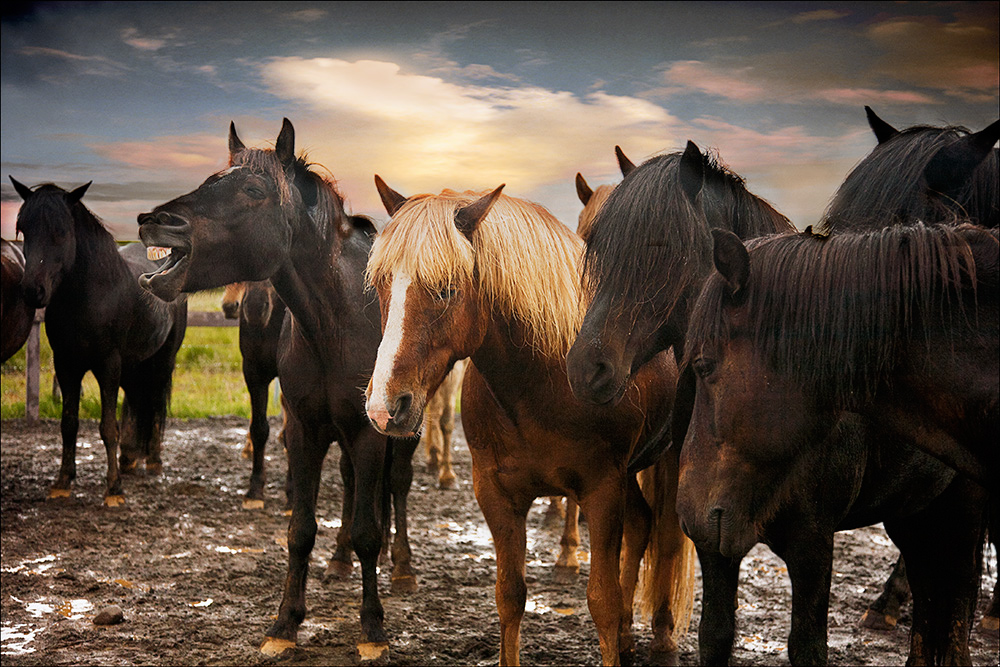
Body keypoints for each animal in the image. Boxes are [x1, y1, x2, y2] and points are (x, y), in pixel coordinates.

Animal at [10, 180, 188, 504]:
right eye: (23, 228)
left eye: (61, 231)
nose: (32, 291)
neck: (89, 297)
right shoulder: (66, 365)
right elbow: (69, 423)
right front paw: (62, 481)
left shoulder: (108, 365)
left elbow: (108, 426)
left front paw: (114, 489)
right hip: (134, 364)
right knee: (136, 399)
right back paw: (129, 459)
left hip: (163, 360)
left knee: (156, 403)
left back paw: (153, 461)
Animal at [134, 120, 418, 656]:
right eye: (211, 179)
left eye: (252, 189)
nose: (153, 221)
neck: (337, 324)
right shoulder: (306, 430)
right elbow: (301, 529)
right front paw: (286, 622)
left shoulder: (369, 433)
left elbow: (370, 529)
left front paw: (373, 628)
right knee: (354, 487)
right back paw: (340, 561)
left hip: (403, 432)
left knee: (395, 486)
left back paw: (404, 565)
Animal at [364, 180, 692, 664]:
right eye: (382, 283)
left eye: (445, 289)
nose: (385, 407)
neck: (542, 383)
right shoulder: (496, 494)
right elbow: (510, 595)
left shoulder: (601, 491)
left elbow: (602, 601)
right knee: (641, 526)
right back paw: (630, 638)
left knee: (665, 539)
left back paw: (662, 639)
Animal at [676, 226, 996, 667]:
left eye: (703, 365)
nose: (689, 513)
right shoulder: (717, 548)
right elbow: (714, 636)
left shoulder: (813, 545)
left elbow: (807, 646)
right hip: (912, 515)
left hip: (961, 511)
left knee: (957, 604)